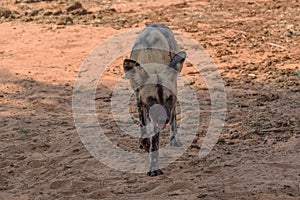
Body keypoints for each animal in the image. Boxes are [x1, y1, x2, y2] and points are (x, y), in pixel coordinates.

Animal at [122, 23, 185, 177]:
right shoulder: (140, 101)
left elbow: (155, 142)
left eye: (168, 98)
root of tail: (157, 24)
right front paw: (144, 144)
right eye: (151, 99)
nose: (164, 119)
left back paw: (174, 139)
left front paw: (154, 167)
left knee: (174, 116)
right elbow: (144, 130)